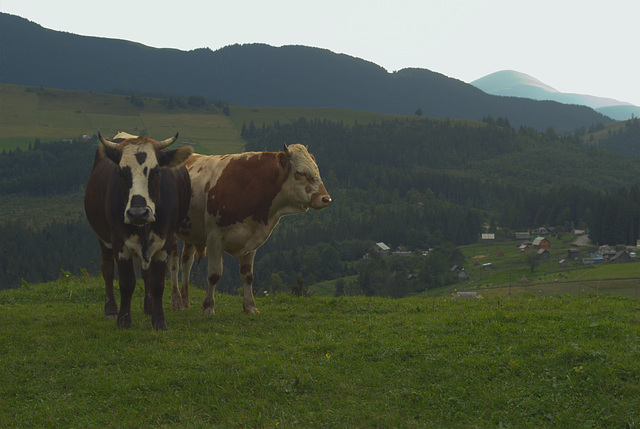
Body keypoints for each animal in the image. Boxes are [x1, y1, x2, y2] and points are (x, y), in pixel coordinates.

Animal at [86, 132, 194, 330]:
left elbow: (157, 283)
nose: (138, 213)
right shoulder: (119, 242)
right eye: (121, 173)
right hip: (103, 239)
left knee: (146, 274)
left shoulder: (165, 242)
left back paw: (149, 307)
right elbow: (127, 283)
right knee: (107, 269)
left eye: (156, 171)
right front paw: (123, 320)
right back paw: (110, 309)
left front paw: (159, 321)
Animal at [172, 144, 332, 314]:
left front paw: (250, 307)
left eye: (317, 169)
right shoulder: (214, 237)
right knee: (174, 264)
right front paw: (208, 307)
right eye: (301, 173)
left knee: (186, 262)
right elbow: (214, 274)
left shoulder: (253, 239)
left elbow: (247, 275)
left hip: (190, 231)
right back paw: (176, 301)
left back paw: (185, 300)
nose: (326, 198)